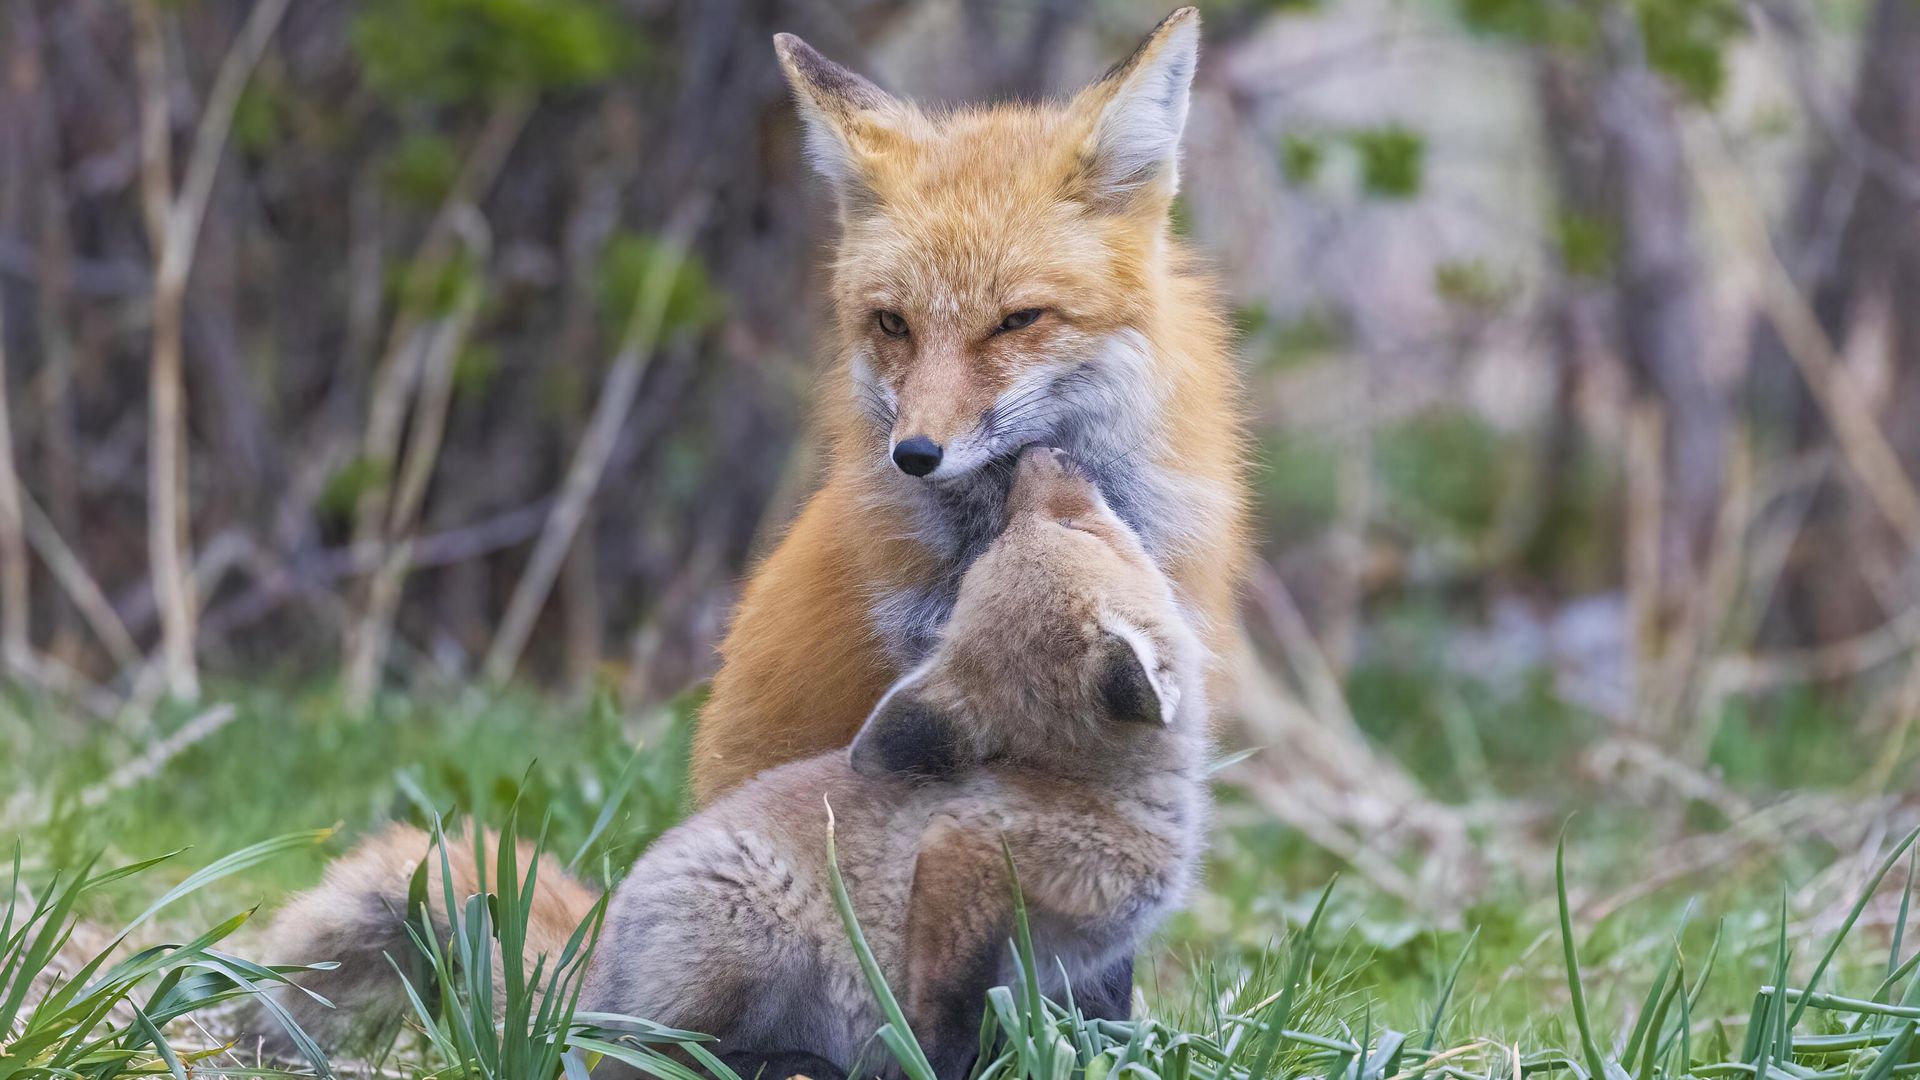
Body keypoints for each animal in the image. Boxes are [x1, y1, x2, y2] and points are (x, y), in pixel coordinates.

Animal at [255, 447, 1211, 1079]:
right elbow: (941, 1013)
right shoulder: (967, 863)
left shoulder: (1076, 970)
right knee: (641, 1064)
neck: (1079, 789)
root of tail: (595, 965)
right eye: (1075, 523)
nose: (1037, 456)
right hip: (745, 934)